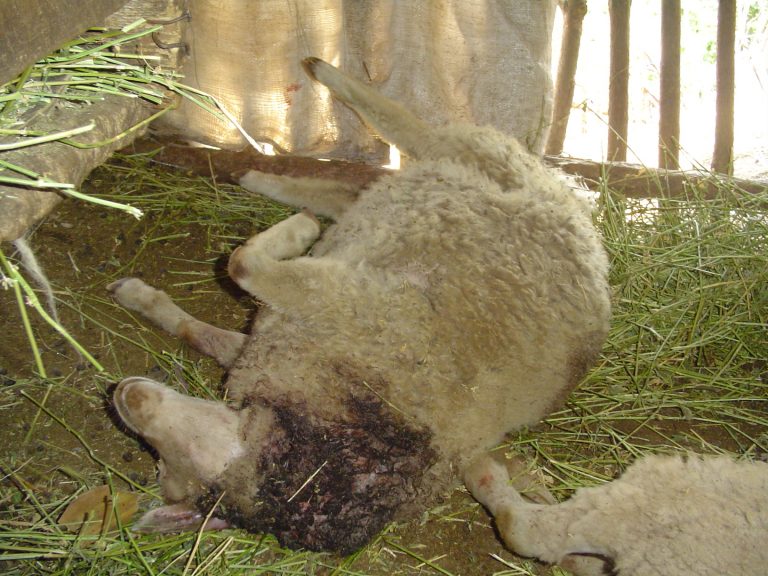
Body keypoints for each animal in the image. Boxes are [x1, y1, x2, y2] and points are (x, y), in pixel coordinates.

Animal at [108, 57, 611, 553]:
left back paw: (322, 78)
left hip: (474, 152)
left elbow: (242, 265)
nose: (124, 396)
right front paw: (137, 296)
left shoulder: (339, 299)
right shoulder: (285, 330)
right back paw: (259, 176)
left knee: (407, 128)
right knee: (351, 193)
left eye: (174, 457)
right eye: (162, 463)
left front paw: (299, 233)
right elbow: (206, 330)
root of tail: (589, 235)